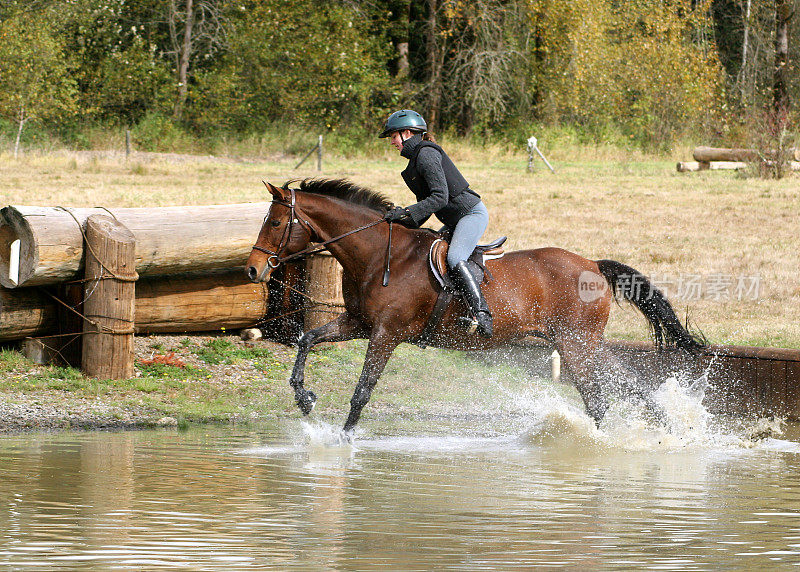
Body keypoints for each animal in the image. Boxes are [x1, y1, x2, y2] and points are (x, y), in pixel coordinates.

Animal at [244, 177, 700, 436]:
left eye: (274, 222)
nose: (252, 270)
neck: (377, 255)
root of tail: (592, 264)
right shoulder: (357, 323)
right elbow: (307, 338)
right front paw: (304, 398)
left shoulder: (386, 334)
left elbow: (362, 391)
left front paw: (343, 441)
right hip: (583, 343)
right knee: (627, 385)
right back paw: (662, 432)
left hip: (576, 344)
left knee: (598, 397)